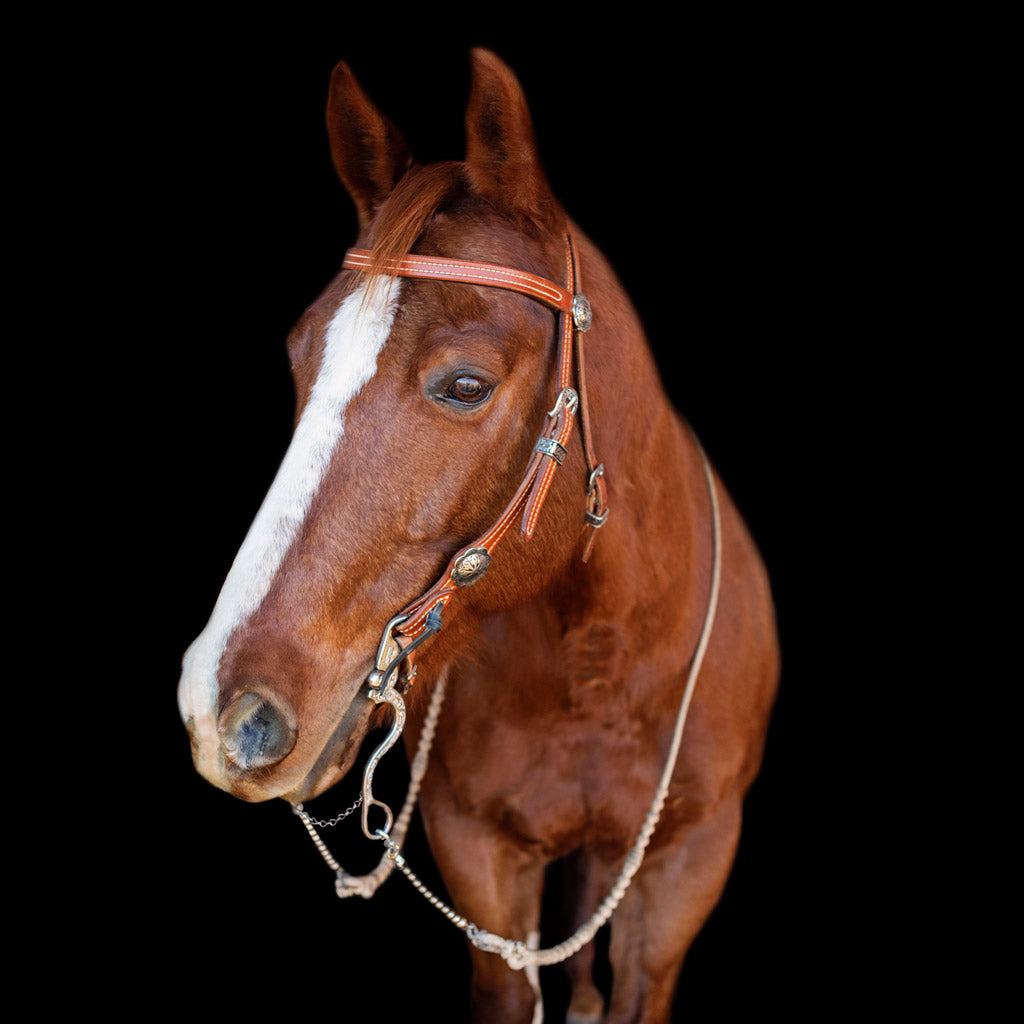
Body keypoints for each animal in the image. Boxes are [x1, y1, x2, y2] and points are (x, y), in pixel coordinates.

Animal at [177, 48, 779, 1024]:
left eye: (466, 385)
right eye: (301, 357)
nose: (224, 710)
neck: (600, 660)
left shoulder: (685, 874)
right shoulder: (485, 866)